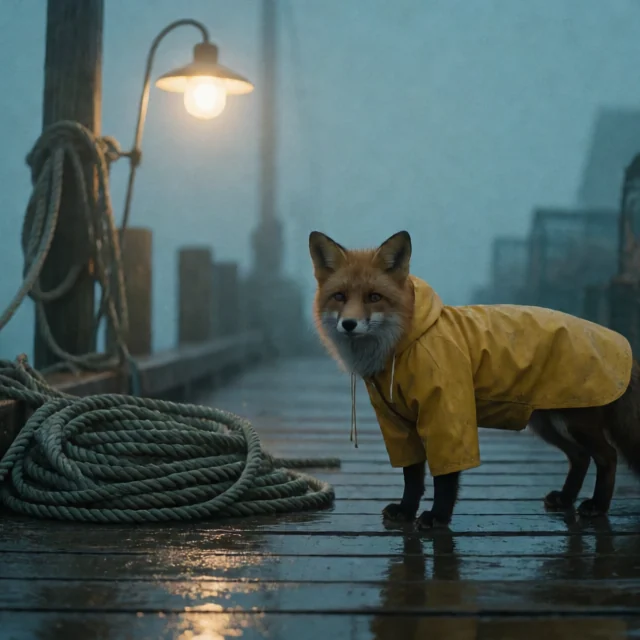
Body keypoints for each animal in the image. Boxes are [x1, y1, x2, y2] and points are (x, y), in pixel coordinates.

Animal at [309, 229, 640, 530]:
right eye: (340, 297)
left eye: (374, 297)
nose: (349, 324)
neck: (403, 344)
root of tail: (623, 345)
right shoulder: (398, 423)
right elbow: (412, 476)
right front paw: (406, 510)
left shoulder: (447, 414)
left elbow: (445, 477)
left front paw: (438, 517)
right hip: (548, 424)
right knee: (581, 457)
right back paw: (567, 498)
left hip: (576, 422)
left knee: (608, 457)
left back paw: (598, 505)